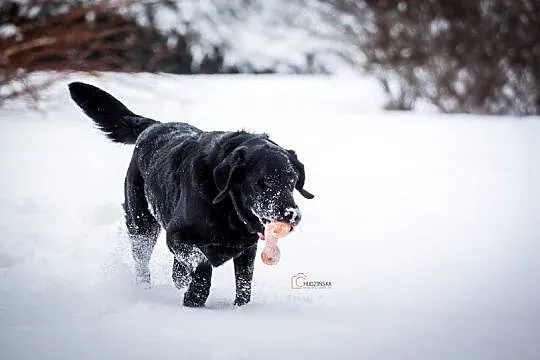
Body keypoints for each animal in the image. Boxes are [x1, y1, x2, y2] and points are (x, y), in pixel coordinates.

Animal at [68, 82, 314, 306]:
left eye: (292, 181)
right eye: (262, 183)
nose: (292, 215)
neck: (227, 209)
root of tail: (154, 126)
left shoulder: (247, 248)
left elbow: (244, 285)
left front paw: (239, 308)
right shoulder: (177, 236)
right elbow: (202, 266)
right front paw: (194, 298)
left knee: (177, 272)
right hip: (141, 224)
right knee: (142, 261)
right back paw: (145, 290)